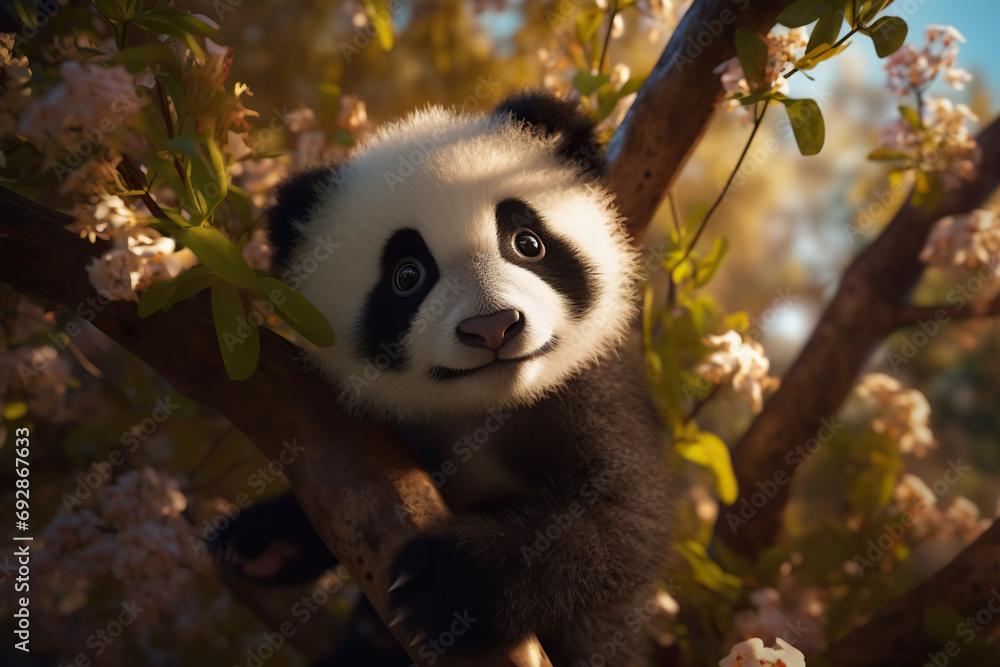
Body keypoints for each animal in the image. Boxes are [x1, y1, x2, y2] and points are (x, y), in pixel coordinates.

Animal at [211, 90, 673, 666]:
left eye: (527, 243)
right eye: (407, 276)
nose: (492, 327)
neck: (484, 407)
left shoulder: (591, 393)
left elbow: (627, 521)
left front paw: (452, 586)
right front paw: (265, 539)